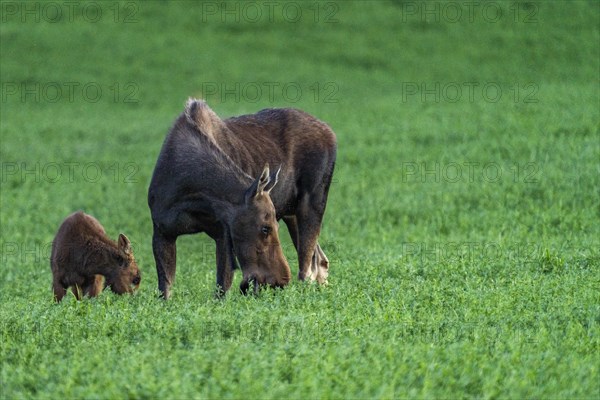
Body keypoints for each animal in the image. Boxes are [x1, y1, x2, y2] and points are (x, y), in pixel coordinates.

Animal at [149, 97, 338, 296]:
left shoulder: (222, 232)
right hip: (291, 212)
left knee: (307, 267)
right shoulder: (162, 231)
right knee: (320, 260)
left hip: (311, 202)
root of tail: (330, 132)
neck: (190, 196)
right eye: (265, 228)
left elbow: (221, 289)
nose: (281, 281)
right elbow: (165, 291)